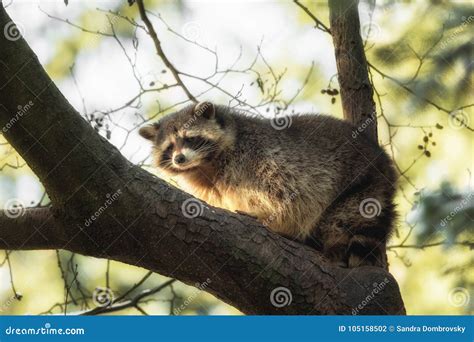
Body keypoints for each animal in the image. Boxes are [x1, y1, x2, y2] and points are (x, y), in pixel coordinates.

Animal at [140, 103, 396, 268]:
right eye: (170, 147)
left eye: (190, 138)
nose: (179, 159)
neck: (205, 166)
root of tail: (384, 161)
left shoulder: (259, 158)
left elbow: (287, 195)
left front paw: (267, 218)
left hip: (361, 183)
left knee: (342, 219)